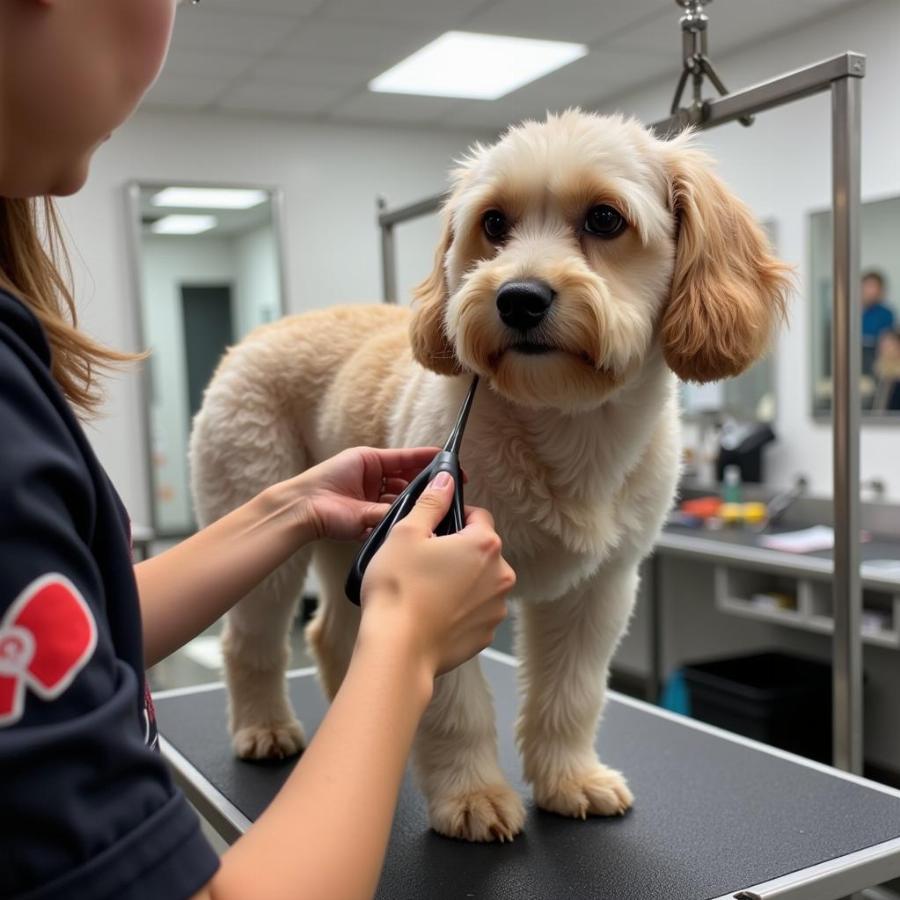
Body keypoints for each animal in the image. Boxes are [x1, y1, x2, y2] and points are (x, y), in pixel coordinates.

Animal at [192, 110, 788, 844]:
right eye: (494, 223)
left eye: (605, 219)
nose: (519, 298)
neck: (567, 427)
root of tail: (254, 336)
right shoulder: (445, 578)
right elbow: (456, 706)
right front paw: (471, 796)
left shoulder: (599, 590)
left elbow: (573, 693)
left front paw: (569, 779)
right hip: (262, 526)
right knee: (248, 641)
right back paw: (265, 727)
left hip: (345, 538)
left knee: (330, 633)